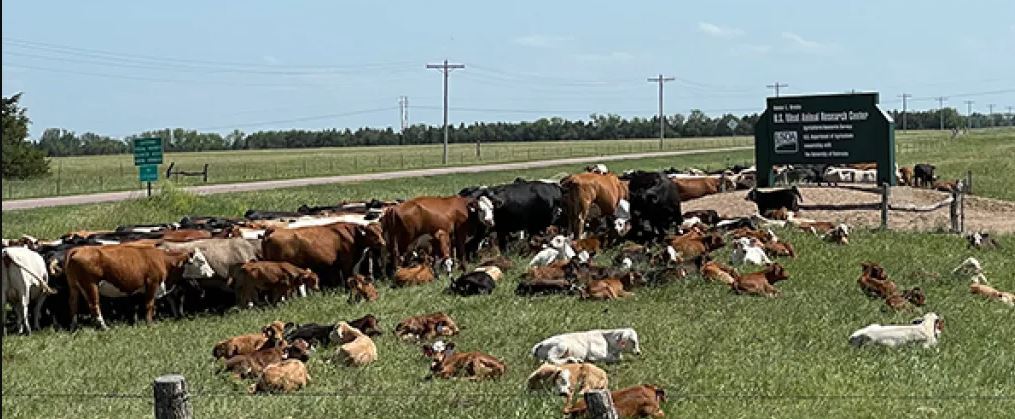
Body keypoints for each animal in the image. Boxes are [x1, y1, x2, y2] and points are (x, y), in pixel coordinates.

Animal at [63, 243, 214, 328]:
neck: (163, 260)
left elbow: (136, 306)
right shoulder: (152, 284)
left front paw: (136, 322)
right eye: (201, 261)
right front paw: (150, 324)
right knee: (94, 306)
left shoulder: (137, 290)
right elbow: (149, 305)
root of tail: (78, 250)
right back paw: (104, 327)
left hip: (74, 286)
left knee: (73, 304)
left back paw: (73, 326)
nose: (212, 273)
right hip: (91, 285)